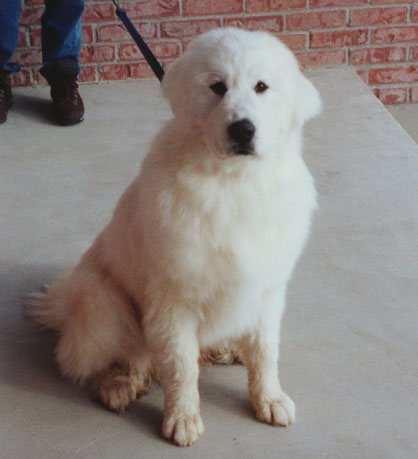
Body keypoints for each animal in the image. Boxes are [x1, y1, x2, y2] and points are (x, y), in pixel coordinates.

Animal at [28, 27, 320, 446]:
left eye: (262, 87)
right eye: (217, 87)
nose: (243, 129)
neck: (233, 183)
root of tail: (61, 303)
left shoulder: (265, 287)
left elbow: (265, 352)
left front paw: (269, 399)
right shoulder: (174, 299)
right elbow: (181, 366)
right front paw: (182, 419)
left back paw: (227, 349)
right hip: (104, 302)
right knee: (122, 357)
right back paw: (118, 386)